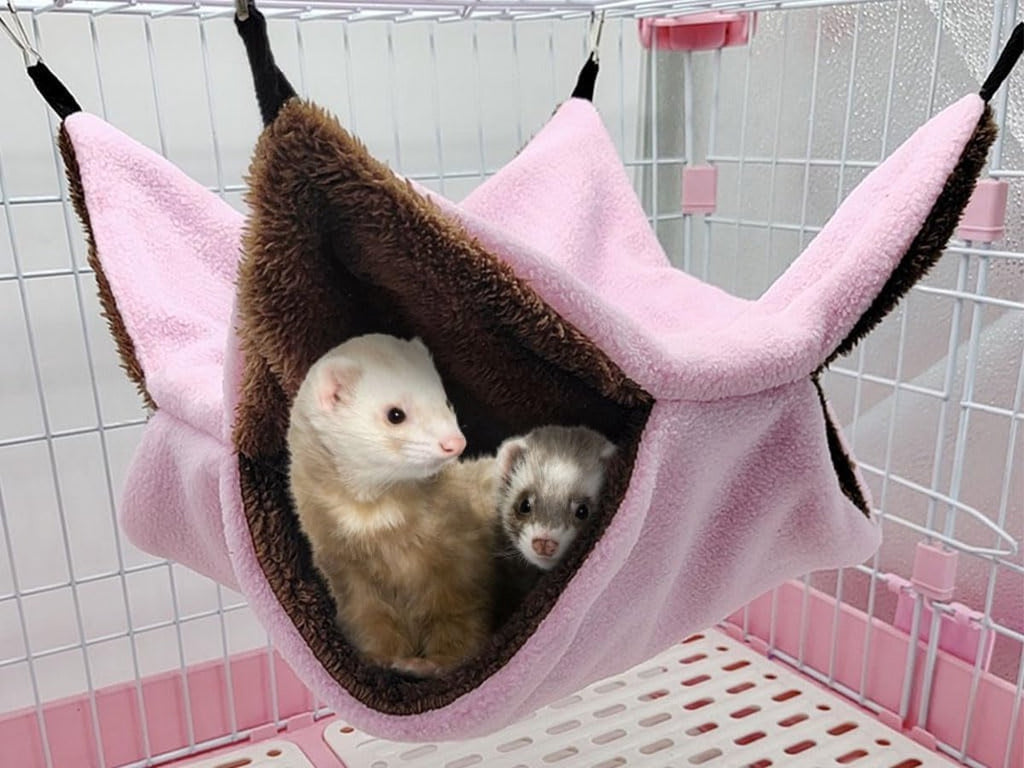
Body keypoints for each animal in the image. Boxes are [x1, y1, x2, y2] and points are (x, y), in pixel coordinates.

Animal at [287, 333, 498, 675]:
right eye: (395, 414)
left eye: (446, 401)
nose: (455, 443)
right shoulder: (347, 575)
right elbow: (369, 621)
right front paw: (380, 658)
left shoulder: (463, 569)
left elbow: (460, 624)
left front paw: (432, 664)